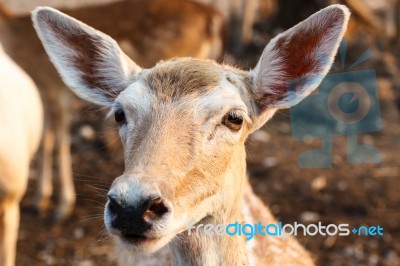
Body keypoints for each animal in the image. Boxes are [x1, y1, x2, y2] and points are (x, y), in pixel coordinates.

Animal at [0, 0, 225, 220]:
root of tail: (212, 15)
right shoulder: (43, 95)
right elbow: (45, 141)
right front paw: (39, 200)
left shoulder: (55, 90)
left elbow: (59, 143)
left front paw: (62, 207)